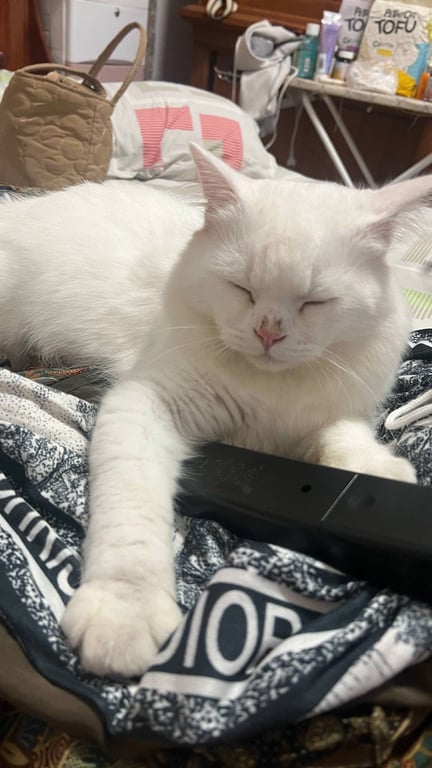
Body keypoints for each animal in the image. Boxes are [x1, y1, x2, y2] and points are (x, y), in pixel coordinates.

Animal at [1, 144, 431, 678]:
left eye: (315, 302)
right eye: (242, 288)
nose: (269, 332)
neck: (272, 388)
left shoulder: (339, 410)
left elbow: (345, 438)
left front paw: (378, 473)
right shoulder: (144, 402)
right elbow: (132, 509)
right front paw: (125, 612)